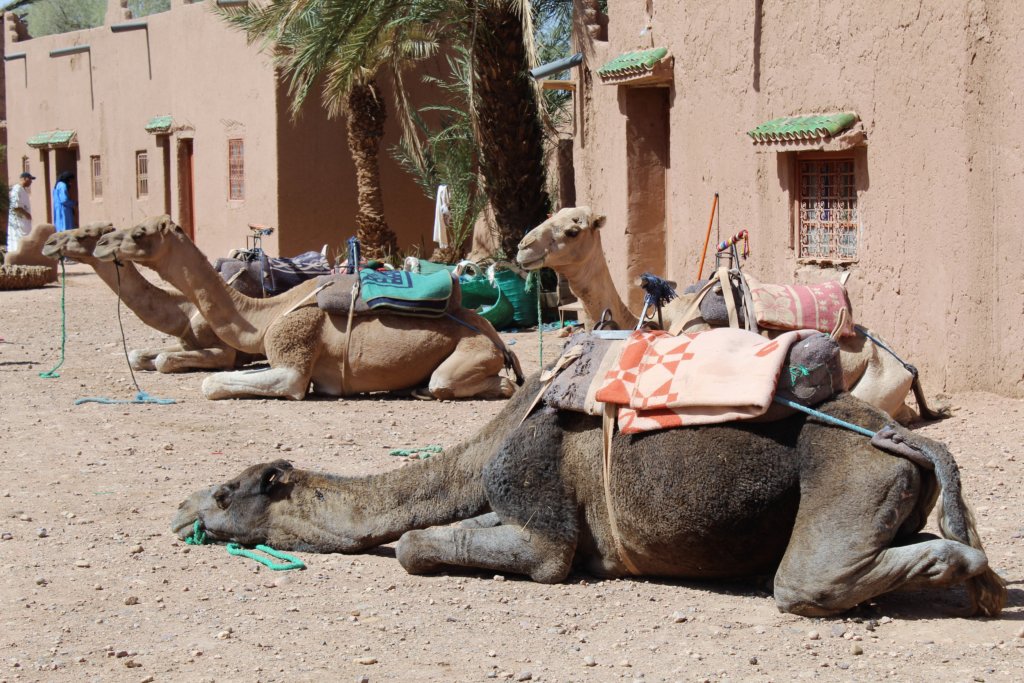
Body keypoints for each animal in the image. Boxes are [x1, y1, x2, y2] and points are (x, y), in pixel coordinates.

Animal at [92, 216, 524, 401]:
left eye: (140, 233)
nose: (100, 242)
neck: (264, 315)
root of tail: (499, 340)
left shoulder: (293, 362)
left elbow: (211, 384)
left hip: (470, 351)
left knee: (451, 383)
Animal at [169, 374, 1007, 618]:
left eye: (225, 489)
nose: (180, 510)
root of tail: (901, 433)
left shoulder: (541, 519)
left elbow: (412, 546)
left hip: (848, 474)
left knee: (809, 580)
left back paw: (969, 572)